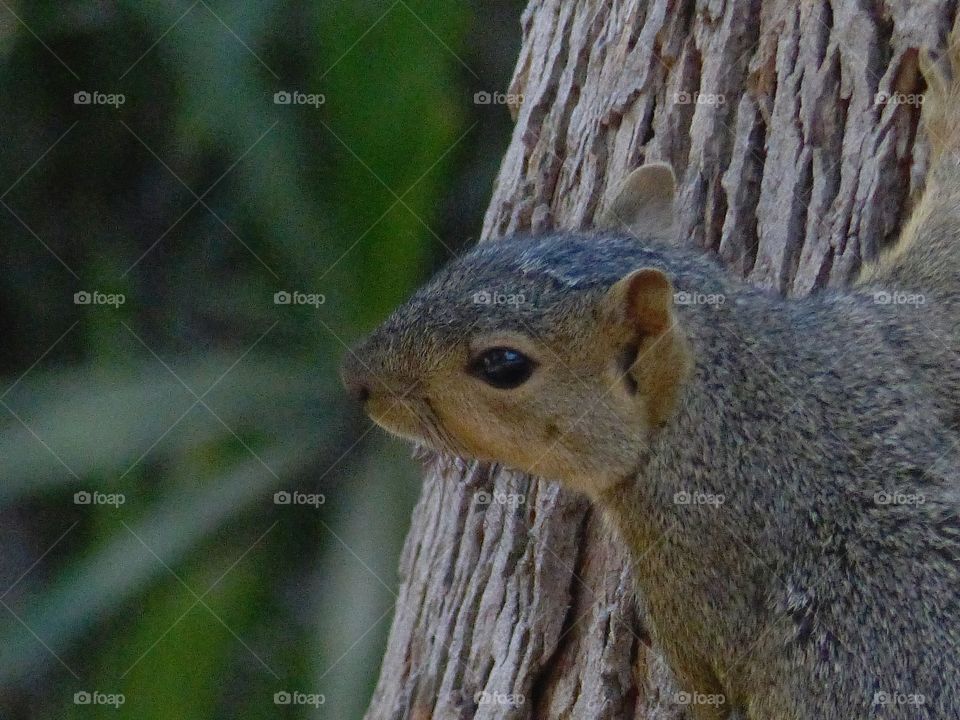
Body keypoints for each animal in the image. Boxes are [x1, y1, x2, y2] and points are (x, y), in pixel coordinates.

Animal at [340, 25, 960, 716]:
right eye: (480, 253)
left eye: (502, 364)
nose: (358, 377)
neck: (749, 390)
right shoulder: (886, 338)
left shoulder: (690, 572)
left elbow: (709, 692)